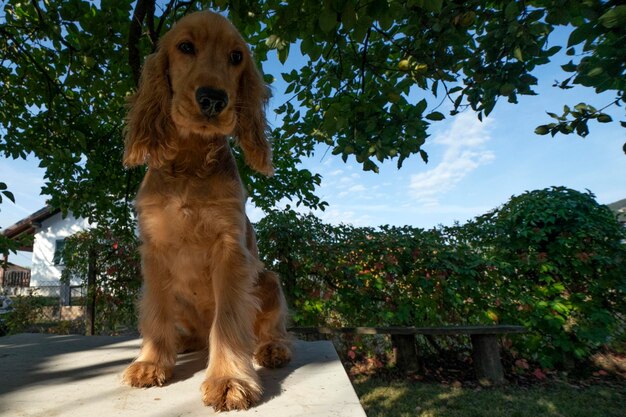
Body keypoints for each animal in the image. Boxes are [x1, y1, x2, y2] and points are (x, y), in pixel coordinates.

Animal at [121, 9, 290, 410]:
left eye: (236, 57)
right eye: (185, 47)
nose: (213, 99)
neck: (190, 162)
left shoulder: (229, 248)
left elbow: (228, 322)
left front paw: (229, 379)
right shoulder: (154, 249)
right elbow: (156, 311)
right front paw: (151, 361)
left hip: (269, 280)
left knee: (268, 328)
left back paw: (272, 349)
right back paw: (181, 342)